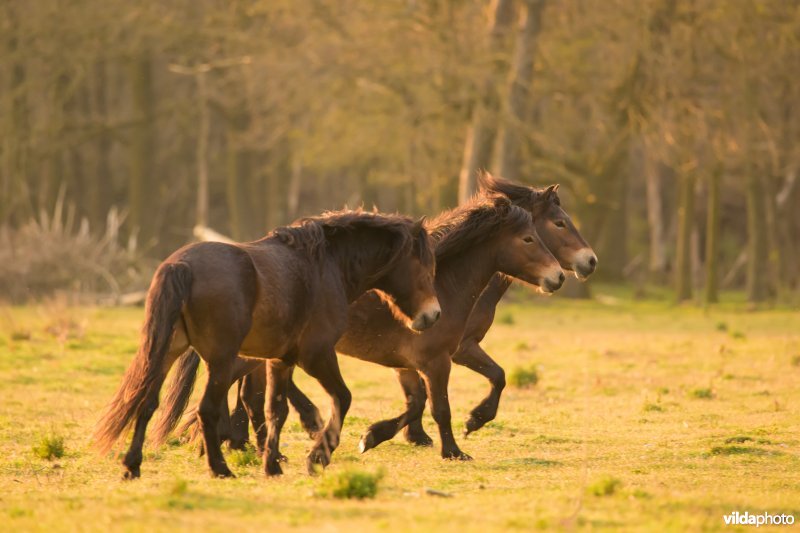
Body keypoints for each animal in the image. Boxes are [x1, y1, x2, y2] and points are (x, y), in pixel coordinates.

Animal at [92, 209, 441, 479]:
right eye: (425, 268)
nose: (433, 314)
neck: (325, 267)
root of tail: (182, 267)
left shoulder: (280, 360)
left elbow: (276, 410)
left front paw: (272, 464)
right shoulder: (317, 355)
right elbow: (342, 397)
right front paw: (318, 457)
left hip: (167, 351)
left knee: (147, 403)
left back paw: (132, 466)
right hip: (220, 361)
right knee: (206, 409)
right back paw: (219, 468)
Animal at [158, 193, 565, 469]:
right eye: (529, 238)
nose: (559, 276)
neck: (443, 283)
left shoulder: (407, 364)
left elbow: (416, 404)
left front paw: (373, 436)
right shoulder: (437, 362)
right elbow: (440, 408)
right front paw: (454, 449)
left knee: (248, 396)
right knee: (240, 395)